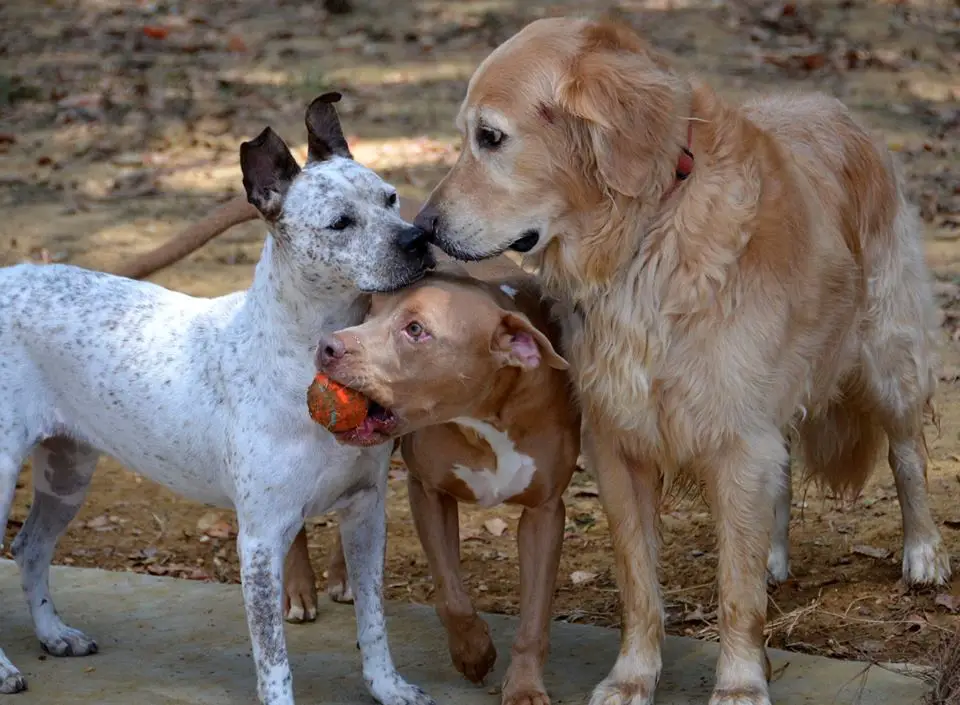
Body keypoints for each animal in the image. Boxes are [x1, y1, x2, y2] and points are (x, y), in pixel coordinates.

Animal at [0, 93, 436, 704]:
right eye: (340, 223)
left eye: (391, 198)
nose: (419, 241)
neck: (304, 357)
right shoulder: (260, 541)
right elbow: (274, 659)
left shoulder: (366, 512)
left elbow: (373, 621)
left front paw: (388, 687)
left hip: (68, 473)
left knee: (31, 548)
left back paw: (54, 634)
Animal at [284, 258, 580, 704]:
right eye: (371, 313)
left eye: (415, 329)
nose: (327, 346)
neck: (483, 418)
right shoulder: (428, 492)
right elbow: (452, 596)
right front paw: (474, 653)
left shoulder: (544, 511)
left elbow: (535, 615)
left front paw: (525, 685)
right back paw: (298, 589)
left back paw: (343, 574)